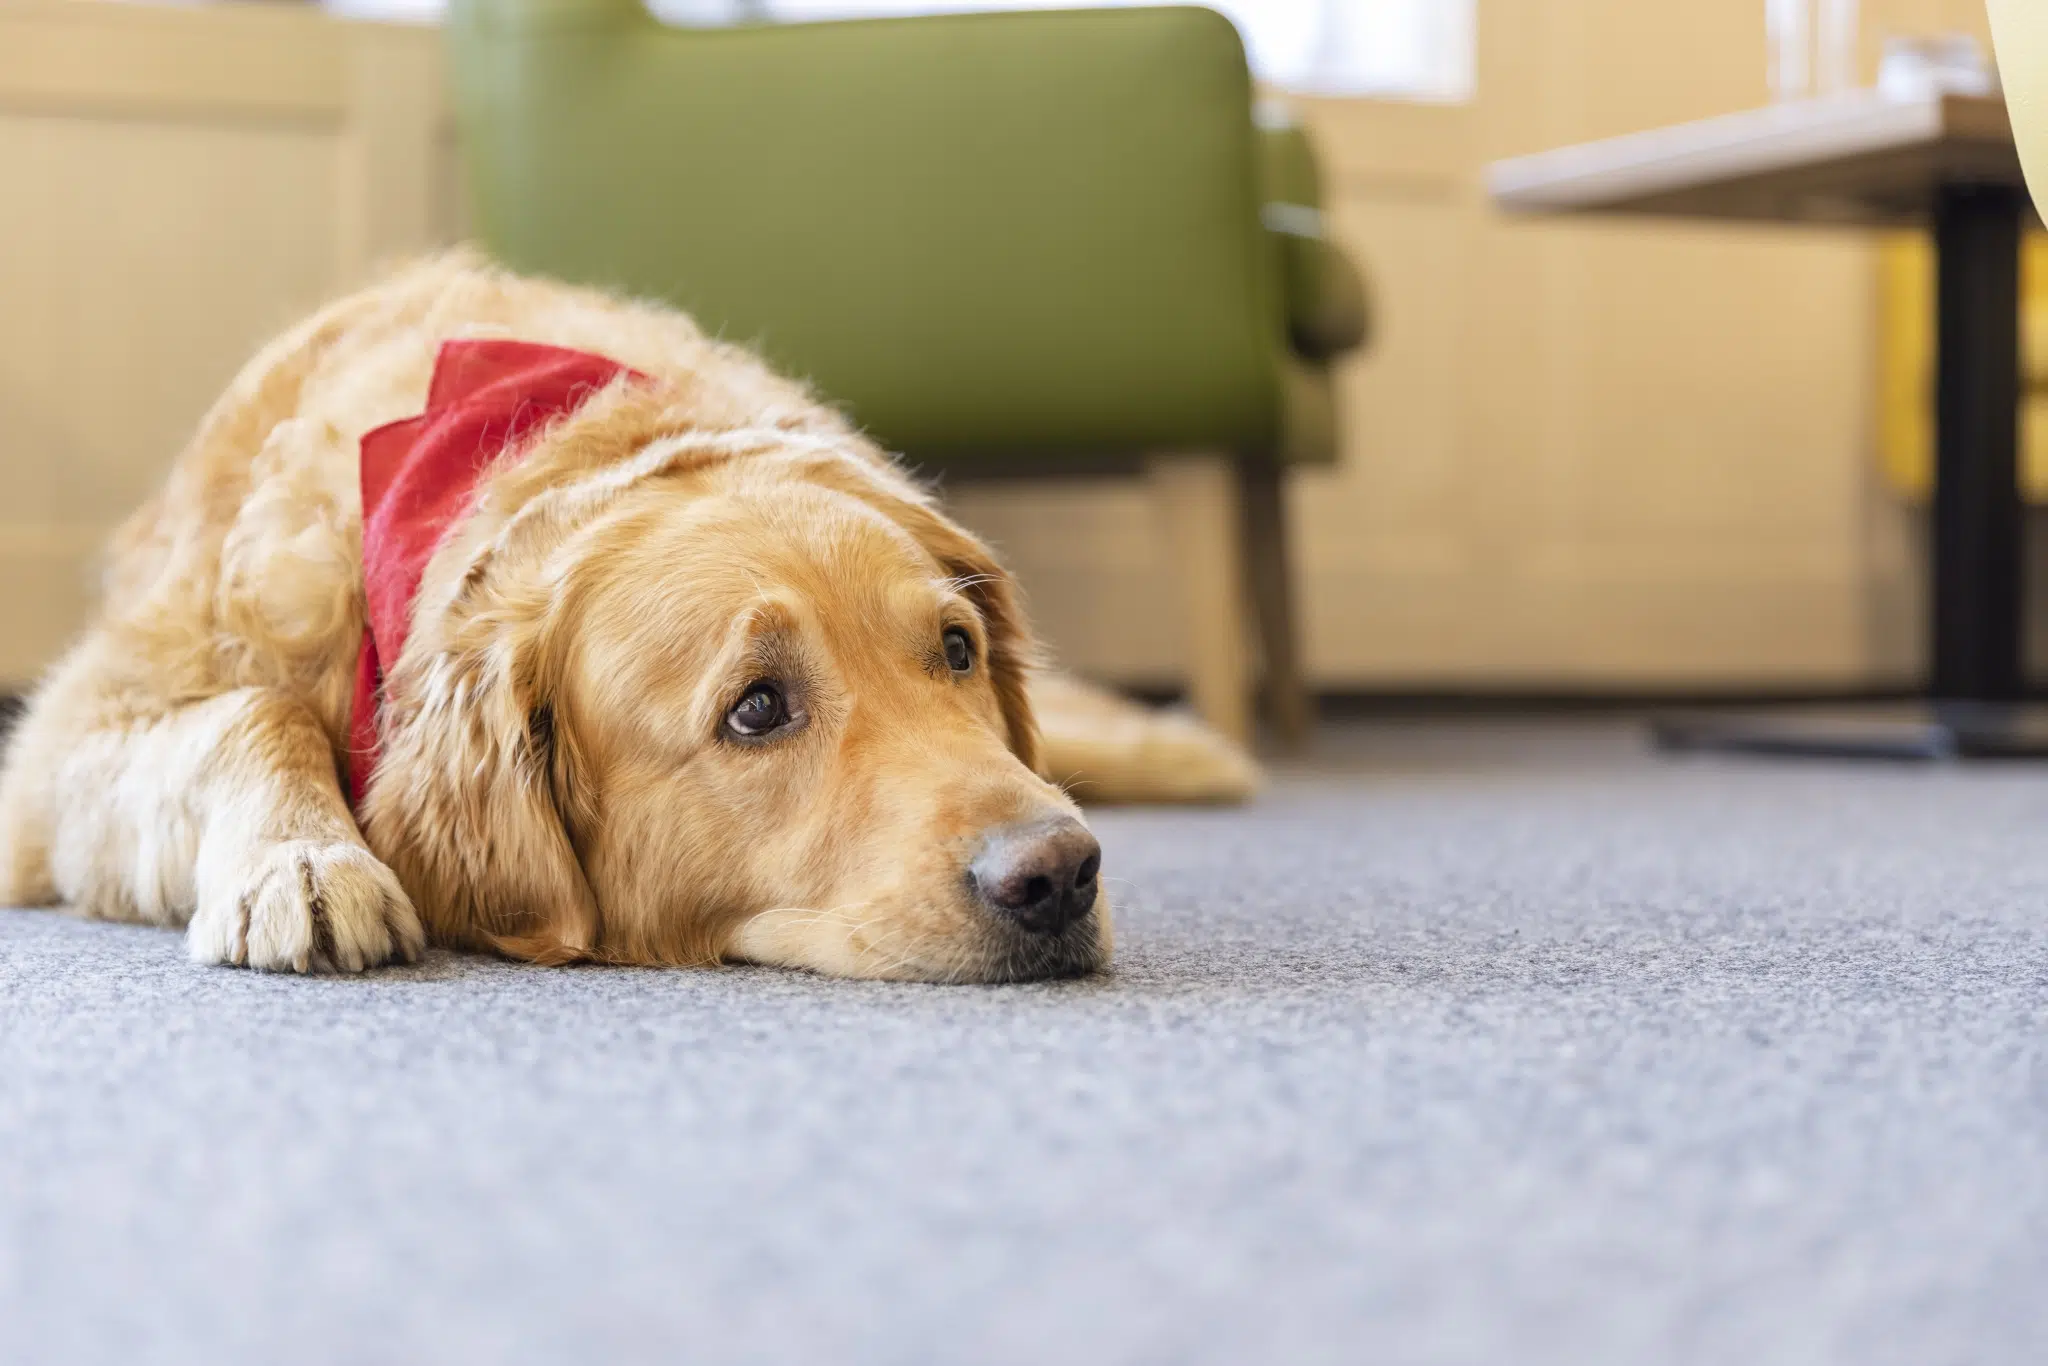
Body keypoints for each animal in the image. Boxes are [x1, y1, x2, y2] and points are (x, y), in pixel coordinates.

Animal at [0, 253, 1245, 983]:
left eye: (956, 650)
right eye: (755, 710)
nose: (1059, 872)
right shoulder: (54, 765)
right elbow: (251, 709)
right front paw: (300, 855)